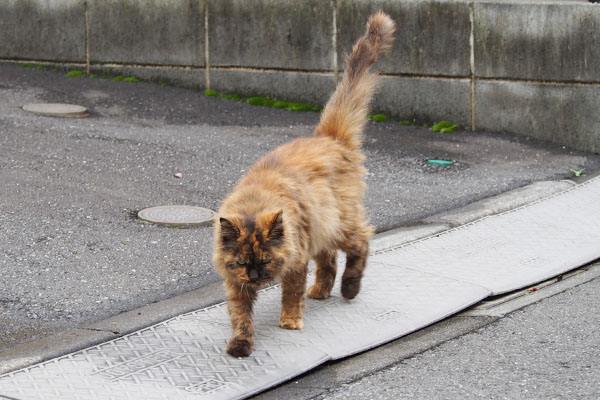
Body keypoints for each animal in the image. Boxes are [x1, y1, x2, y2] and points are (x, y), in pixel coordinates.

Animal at [213, 10, 396, 358]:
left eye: (265, 260)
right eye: (243, 262)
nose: (256, 277)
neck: (255, 203)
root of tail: (329, 137)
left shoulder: (295, 261)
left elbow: (291, 294)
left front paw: (290, 321)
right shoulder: (236, 282)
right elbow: (240, 316)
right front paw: (240, 344)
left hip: (340, 225)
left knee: (361, 244)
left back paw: (349, 289)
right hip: (321, 231)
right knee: (329, 262)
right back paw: (322, 291)